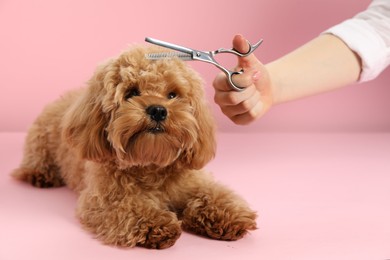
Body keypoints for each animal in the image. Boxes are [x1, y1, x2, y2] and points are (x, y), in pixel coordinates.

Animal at [12, 44, 258, 248]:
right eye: (131, 92)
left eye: (172, 94)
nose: (158, 110)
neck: (151, 164)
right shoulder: (103, 199)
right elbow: (130, 207)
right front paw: (156, 223)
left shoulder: (194, 181)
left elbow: (213, 194)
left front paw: (230, 214)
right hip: (40, 142)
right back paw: (39, 174)